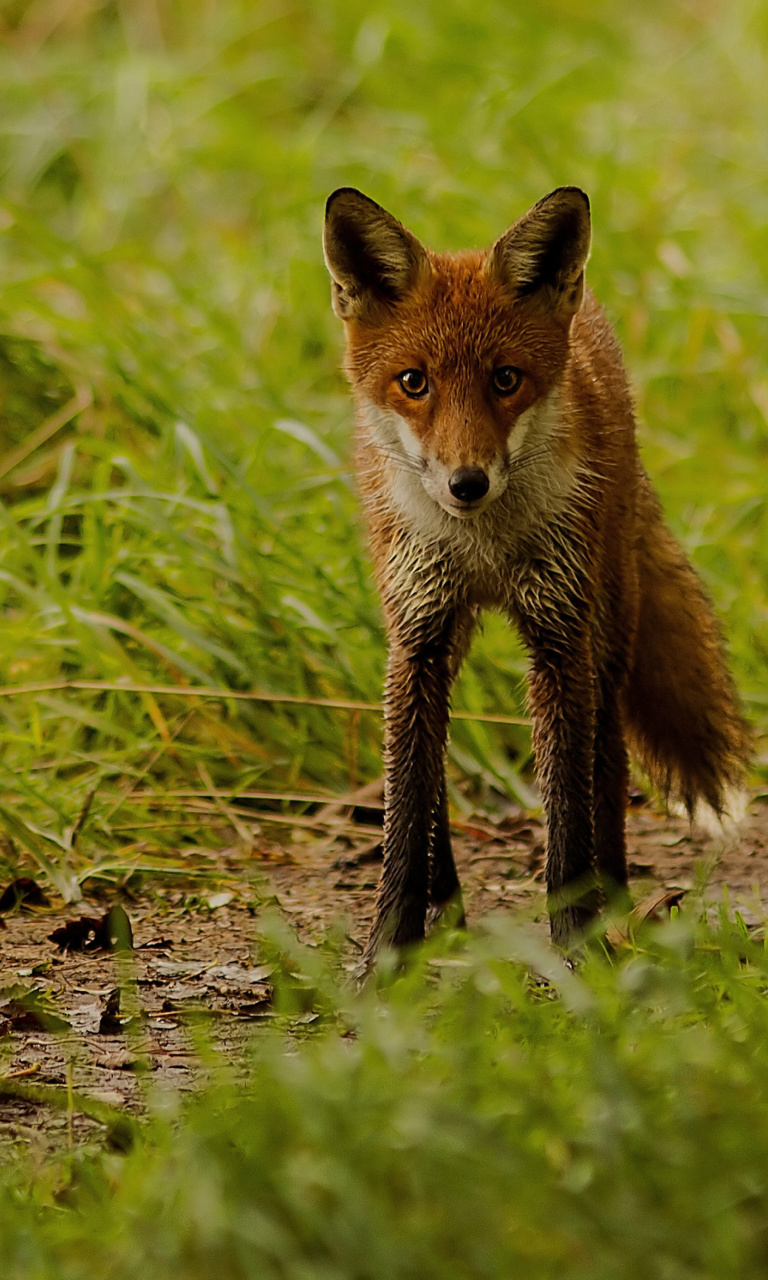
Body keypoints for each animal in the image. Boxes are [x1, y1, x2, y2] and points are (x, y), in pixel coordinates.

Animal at [322, 185, 747, 962]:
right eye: (414, 383)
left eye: (506, 380)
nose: (466, 483)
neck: (485, 549)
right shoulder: (418, 635)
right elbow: (406, 810)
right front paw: (388, 955)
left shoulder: (558, 638)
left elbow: (568, 813)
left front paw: (580, 949)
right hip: (444, 638)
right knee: (436, 779)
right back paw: (447, 907)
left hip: (607, 626)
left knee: (607, 766)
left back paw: (617, 904)